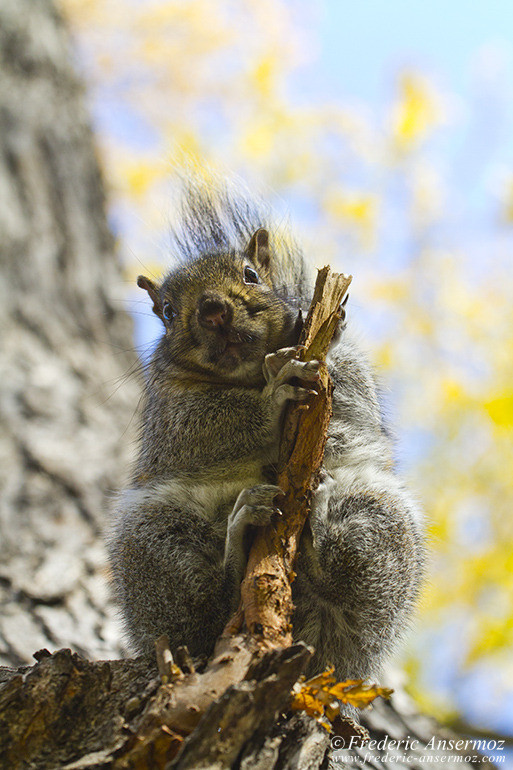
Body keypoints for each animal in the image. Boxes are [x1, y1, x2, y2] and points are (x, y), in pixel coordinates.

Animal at [108, 180, 424, 680]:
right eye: (167, 312)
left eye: (251, 274)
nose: (213, 309)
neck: (251, 371)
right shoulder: (168, 412)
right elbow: (203, 425)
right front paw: (273, 397)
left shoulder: (353, 387)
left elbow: (353, 392)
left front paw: (324, 338)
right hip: (154, 539)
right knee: (207, 608)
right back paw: (240, 541)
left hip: (381, 517)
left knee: (345, 587)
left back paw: (318, 527)